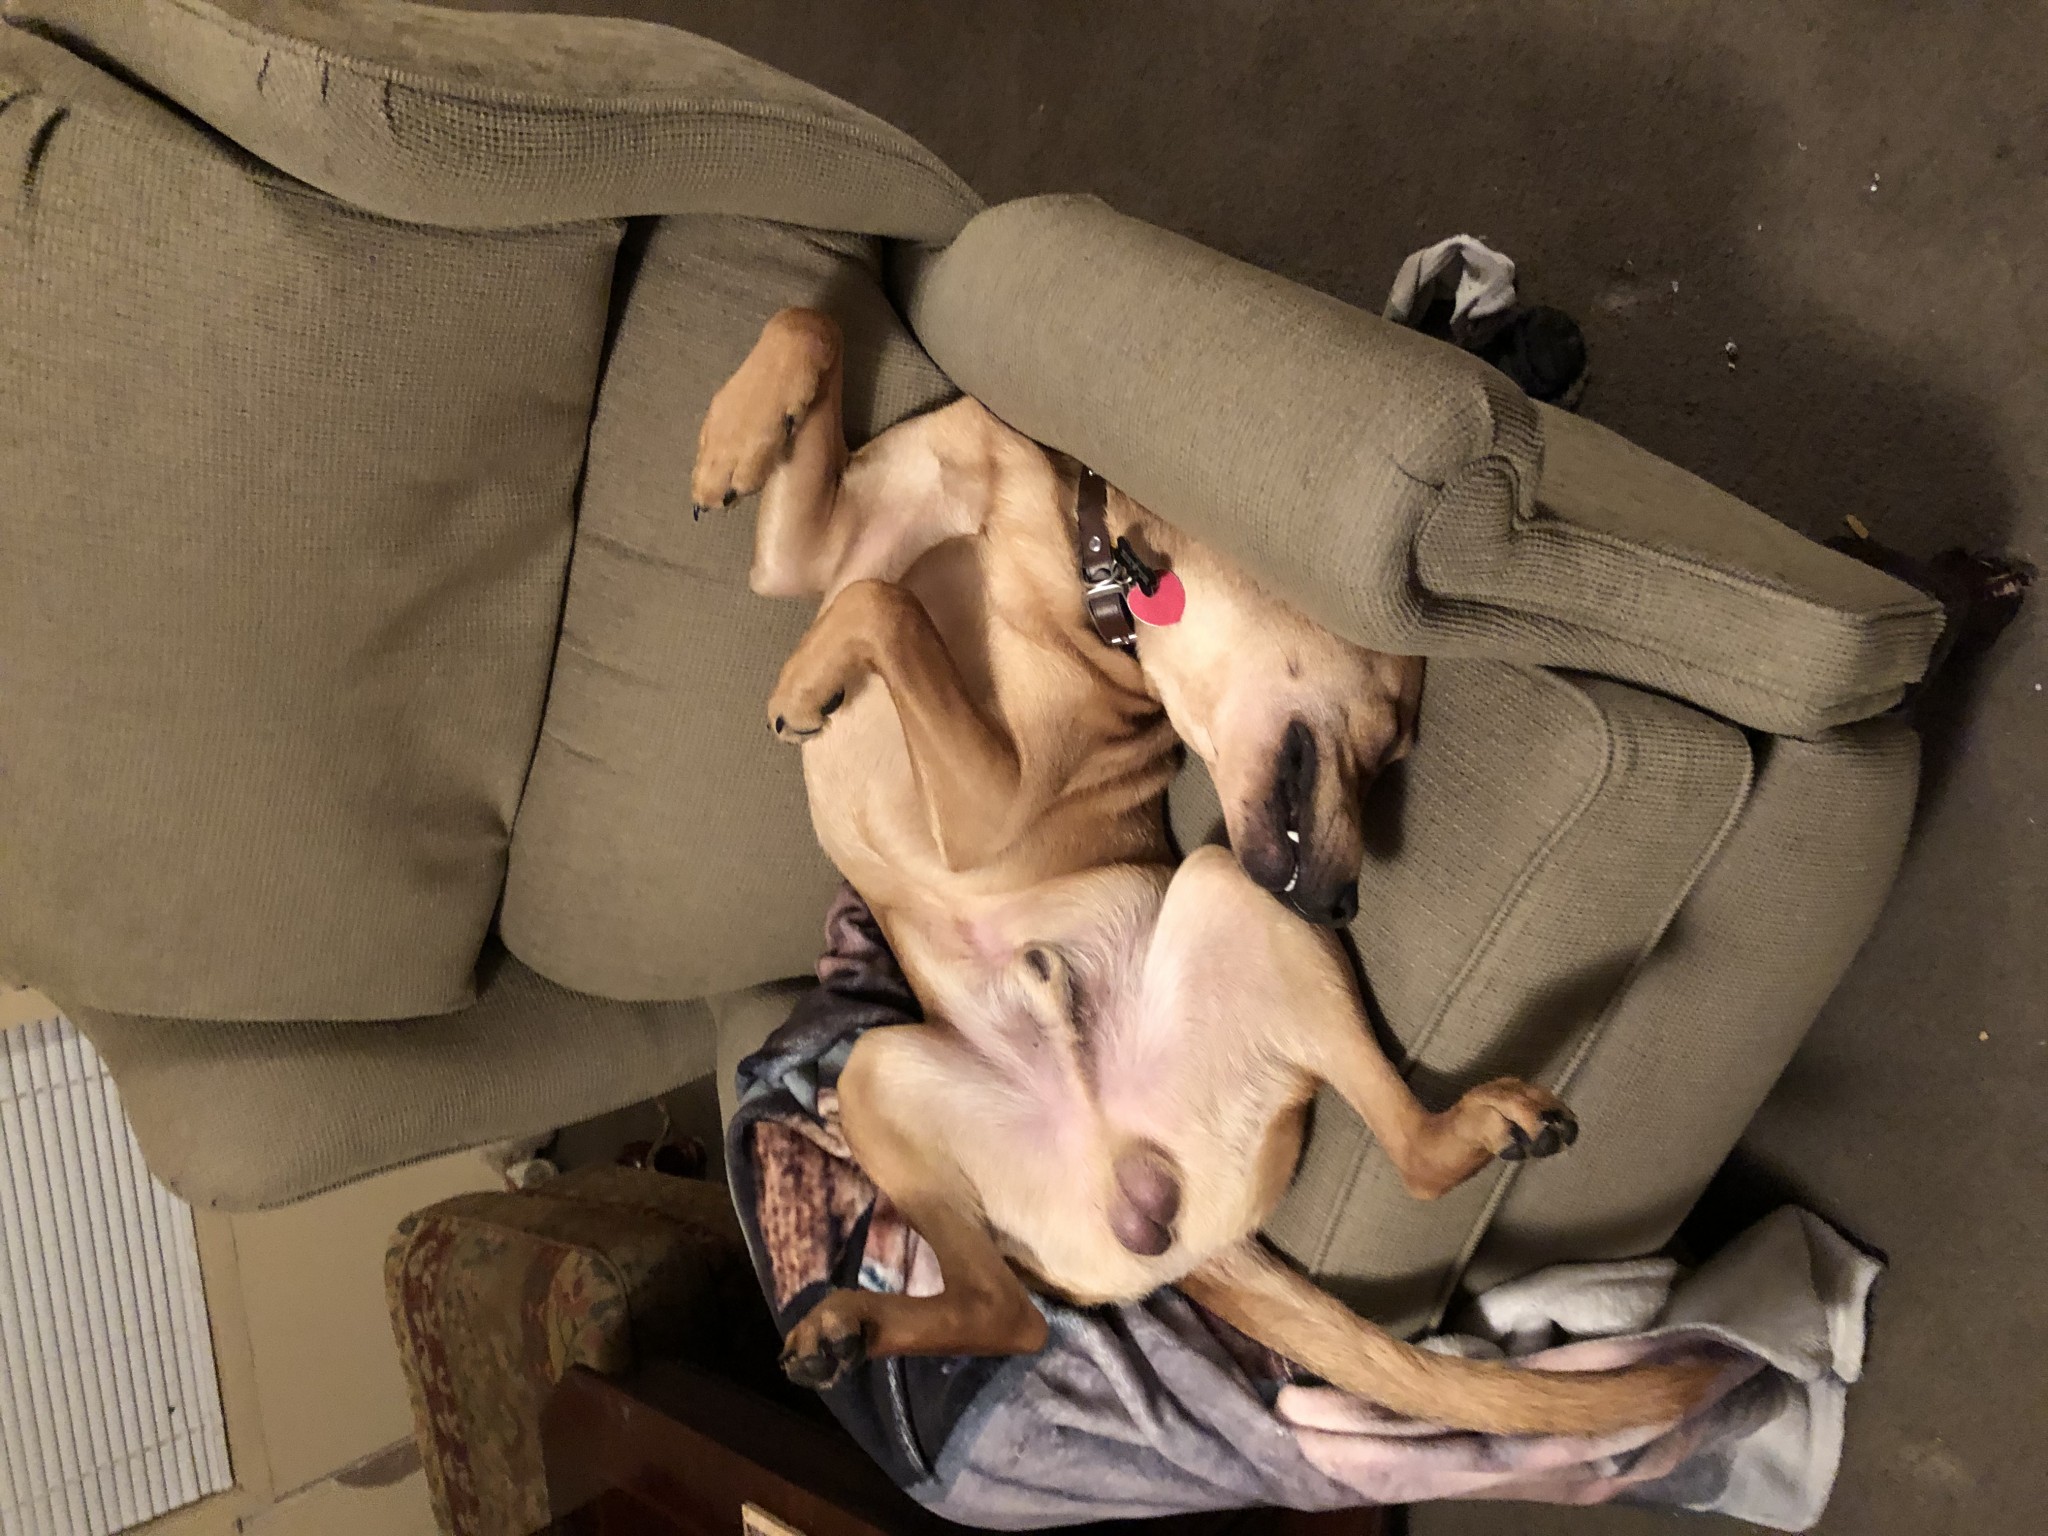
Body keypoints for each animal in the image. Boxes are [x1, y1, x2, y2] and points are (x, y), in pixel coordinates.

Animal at [690, 308, 1719, 1435]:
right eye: (1395, 741)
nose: (1344, 901)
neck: (1093, 561)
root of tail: (1182, 1233)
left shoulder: (987, 813)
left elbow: (885, 607)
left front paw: (805, 677)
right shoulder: (810, 557)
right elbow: (812, 327)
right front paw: (730, 443)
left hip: (1229, 896)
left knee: (1409, 1160)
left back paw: (1487, 1120)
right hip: (884, 1074)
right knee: (1011, 1315)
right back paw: (848, 1329)